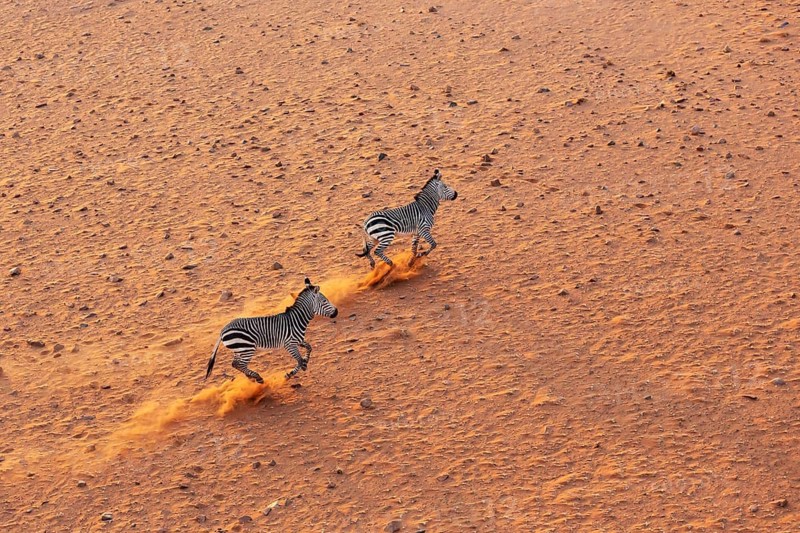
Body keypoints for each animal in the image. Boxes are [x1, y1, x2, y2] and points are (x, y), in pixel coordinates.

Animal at [205, 278, 338, 383]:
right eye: (325, 301)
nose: (336, 312)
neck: (296, 319)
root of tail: (223, 330)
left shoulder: (298, 341)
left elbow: (309, 348)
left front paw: (305, 362)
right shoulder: (289, 344)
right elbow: (299, 361)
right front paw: (290, 374)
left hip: (240, 350)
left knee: (235, 364)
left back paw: (251, 377)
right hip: (247, 348)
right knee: (240, 364)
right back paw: (257, 377)